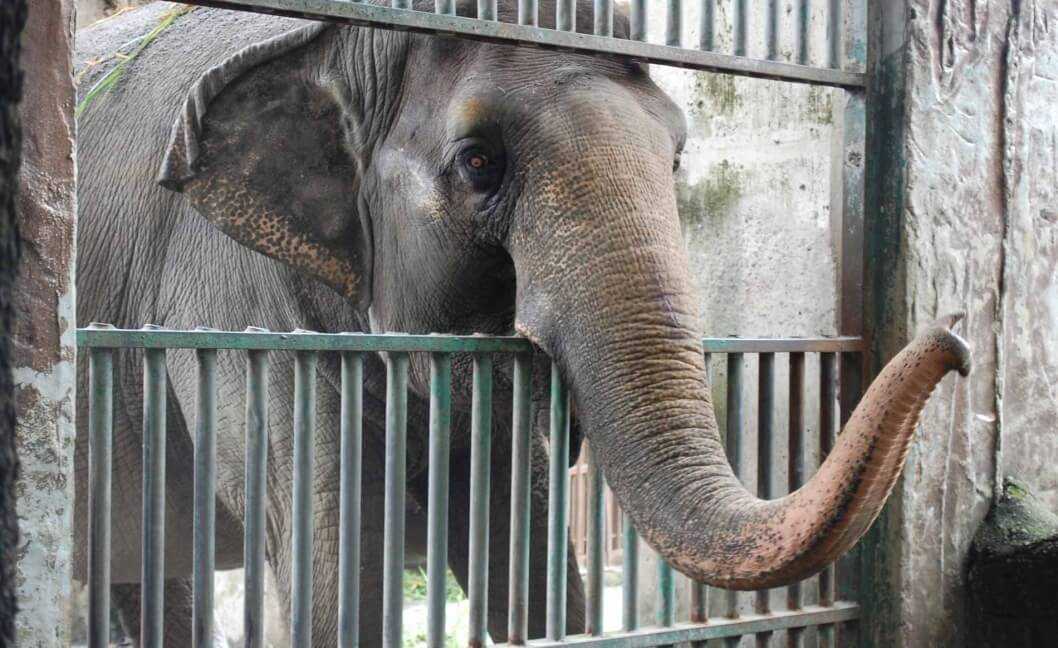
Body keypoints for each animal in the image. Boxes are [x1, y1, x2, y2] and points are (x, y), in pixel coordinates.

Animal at [74, 1, 971, 645]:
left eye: (677, 156)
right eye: (479, 162)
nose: (956, 338)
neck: (345, 41)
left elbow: (533, 564)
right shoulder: (239, 312)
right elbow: (340, 578)